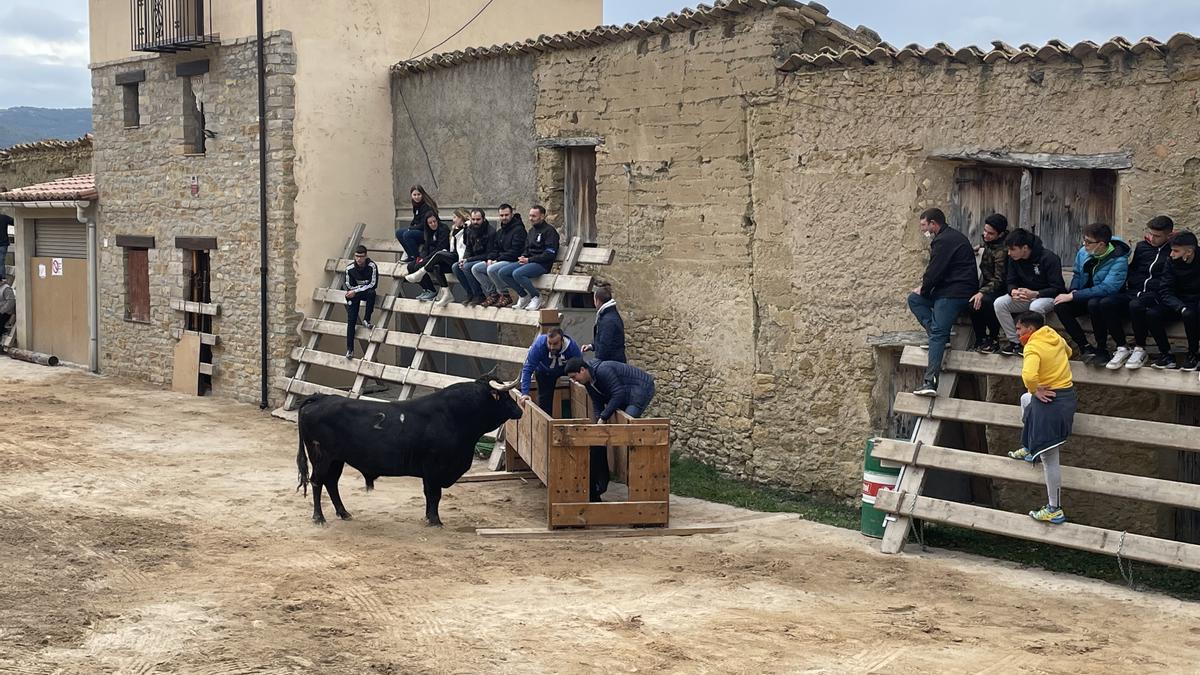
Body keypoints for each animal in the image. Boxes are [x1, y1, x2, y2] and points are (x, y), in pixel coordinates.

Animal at [295, 374, 520, 523]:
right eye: (505, 397)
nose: (519, 410)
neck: (455, 415)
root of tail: (320, 397)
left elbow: (431, 495)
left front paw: (430, 518)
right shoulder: (433, 469)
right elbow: (434, 494)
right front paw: (435, 520)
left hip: (336, 459)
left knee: (331, 483)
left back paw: (344, 513)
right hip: (321, 457)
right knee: (317, 482)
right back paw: (319, 517)